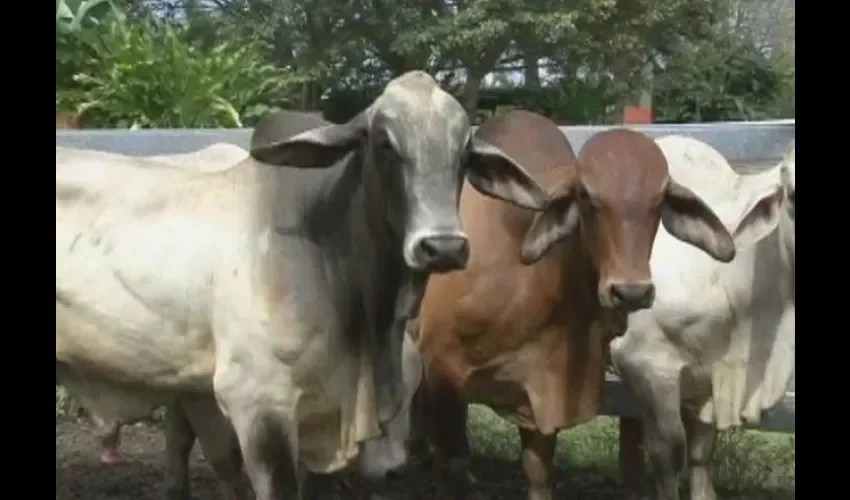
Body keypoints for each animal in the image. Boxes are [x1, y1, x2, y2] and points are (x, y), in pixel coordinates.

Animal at [410, 110, 739, 500]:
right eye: (586, 196)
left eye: (659, 201)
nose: (631, 292)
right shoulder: (442, 370)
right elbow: (455, 465)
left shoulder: (540, 390)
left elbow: (538, 471)